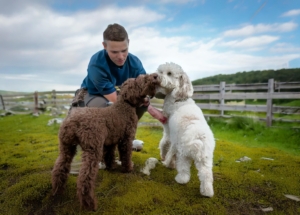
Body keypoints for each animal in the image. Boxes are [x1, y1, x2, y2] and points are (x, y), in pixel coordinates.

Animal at [51, 73, 162, 211]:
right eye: (140, 79)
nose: (155, 76)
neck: (124, 105)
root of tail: (74, 120)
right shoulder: (126, 139)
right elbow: (126, 155)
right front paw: (128, 168)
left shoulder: (110, 141)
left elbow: (109, 155)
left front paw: (111, 167)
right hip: (92, 150)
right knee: (84, 179)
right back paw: (90, 204)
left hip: (66, 148)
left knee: (59, 168)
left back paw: (58, 191)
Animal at [156, 62, 214, 198]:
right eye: (160, 71)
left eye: (169, 73)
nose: (156, 76)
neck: (179, 98)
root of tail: (198, 138)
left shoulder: (168, 128)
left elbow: (164, 143)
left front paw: (165, 158)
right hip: (205, 159)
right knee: (206, 174)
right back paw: (207, 192)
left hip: (184, 154)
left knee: (183, 169)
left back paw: (180, 179)